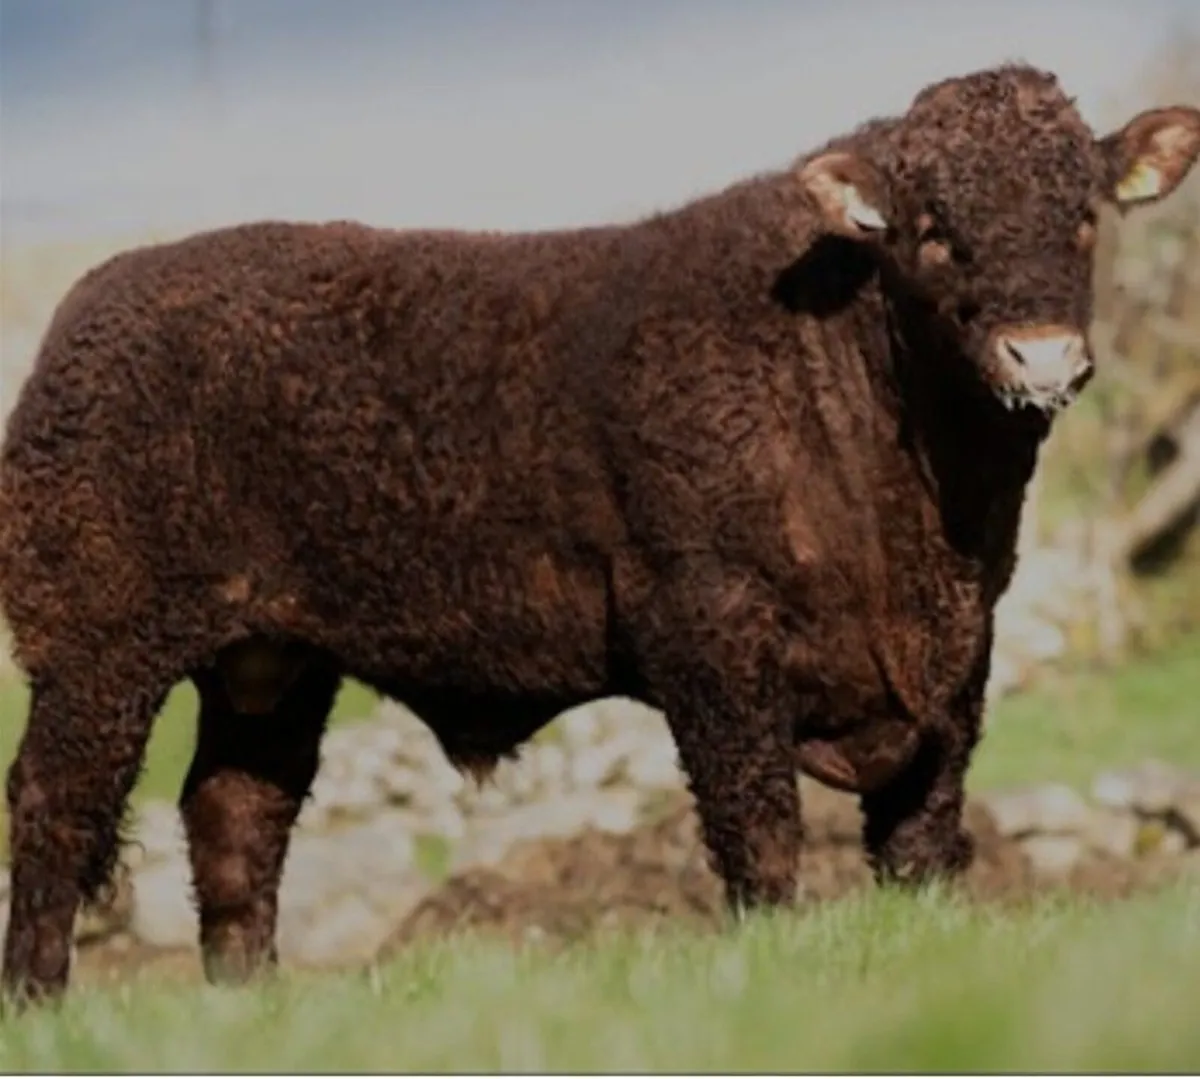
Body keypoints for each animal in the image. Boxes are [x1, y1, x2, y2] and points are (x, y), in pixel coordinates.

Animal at [1, 62, 1197, 1005]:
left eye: (1084, 214)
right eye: (933, 230)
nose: (1041, 355)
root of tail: (96, 299)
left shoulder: (955, 668)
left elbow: (923, 845)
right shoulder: (710, 640)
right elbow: (760, 835)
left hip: (270, 661)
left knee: (237, 814)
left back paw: (250, 1005)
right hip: (96, 648)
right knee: (56, 806)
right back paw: (41, 1005)